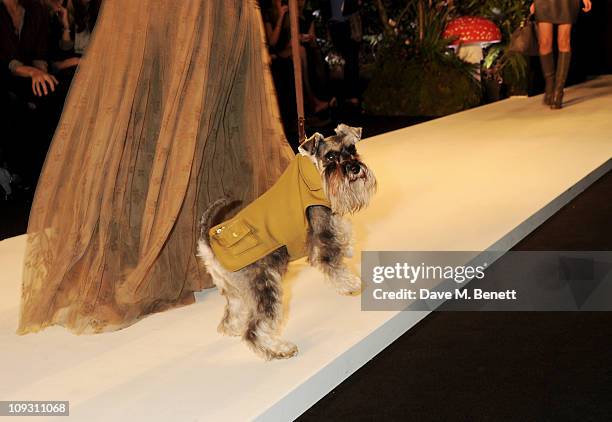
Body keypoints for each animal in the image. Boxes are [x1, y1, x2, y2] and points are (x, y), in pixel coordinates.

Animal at [198, 123, 376, 362]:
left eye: (352, 149)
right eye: (330, 156)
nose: (354, 168)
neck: (314, 176)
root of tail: (208, 247)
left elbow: (343, 232)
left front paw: (348, 249)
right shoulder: (322, 233)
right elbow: (332, 261)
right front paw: (351, 284)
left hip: (234, 290)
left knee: (232, 312)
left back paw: (232, 328)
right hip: (265, 284)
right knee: (254, 329)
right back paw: (280, 349)